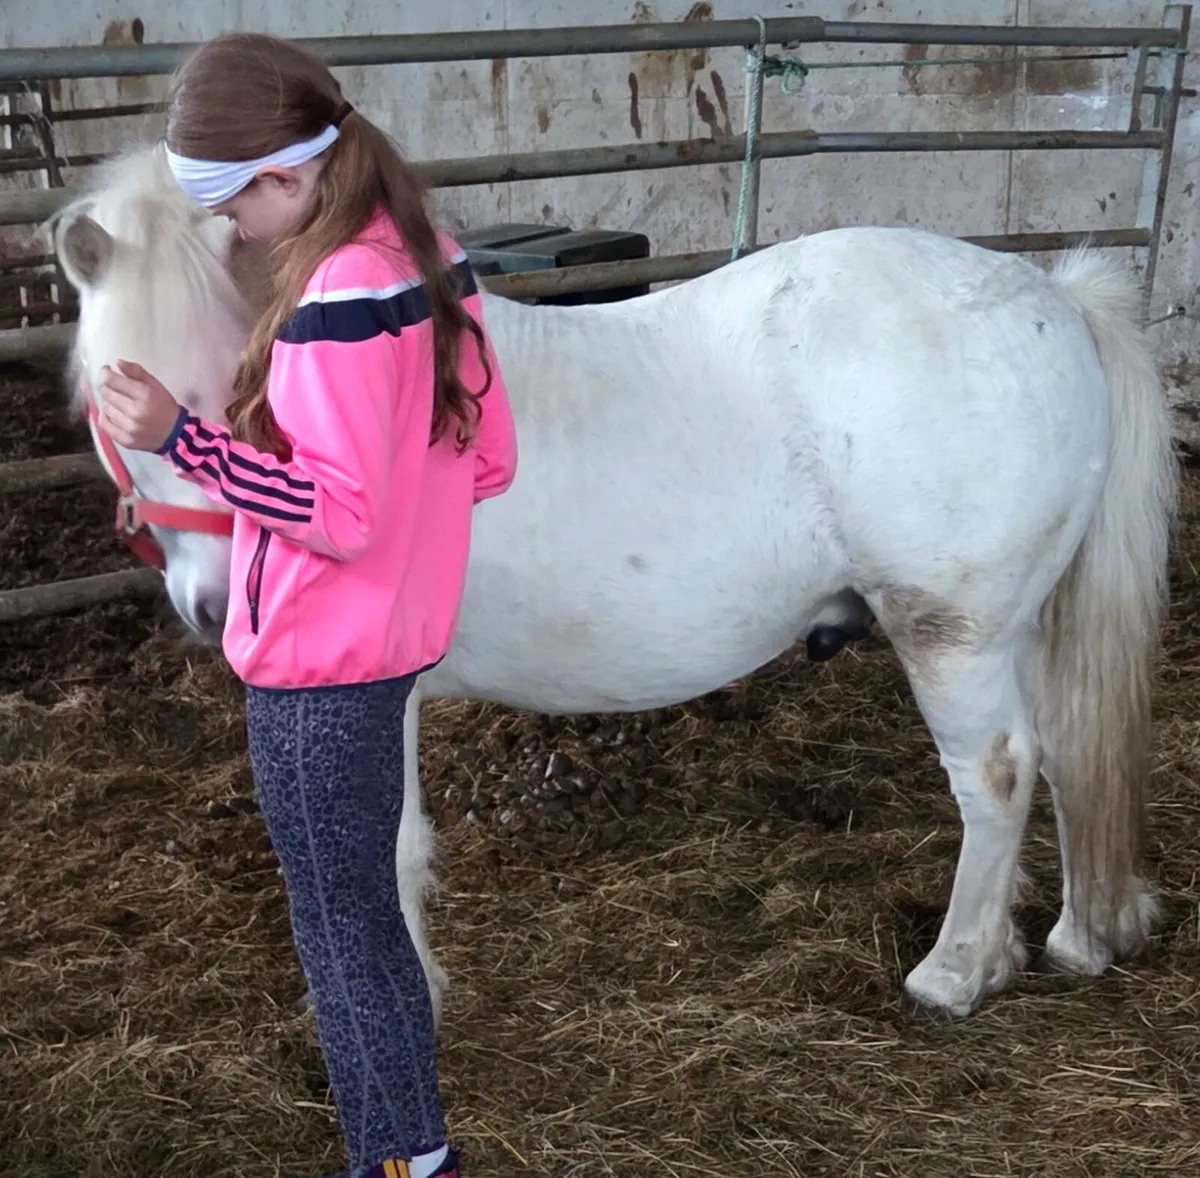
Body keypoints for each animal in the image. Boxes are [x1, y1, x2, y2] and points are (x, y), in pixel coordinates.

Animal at [49, 143, 1178, 1021]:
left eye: (242, 393)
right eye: (114, 397)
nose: (211, 608)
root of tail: (1058, 299)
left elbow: (387, 855)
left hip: (952, 632)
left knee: (998, 772)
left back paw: (956, 970)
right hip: (1020, 626)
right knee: (1067, 748)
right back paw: (1080, 933)